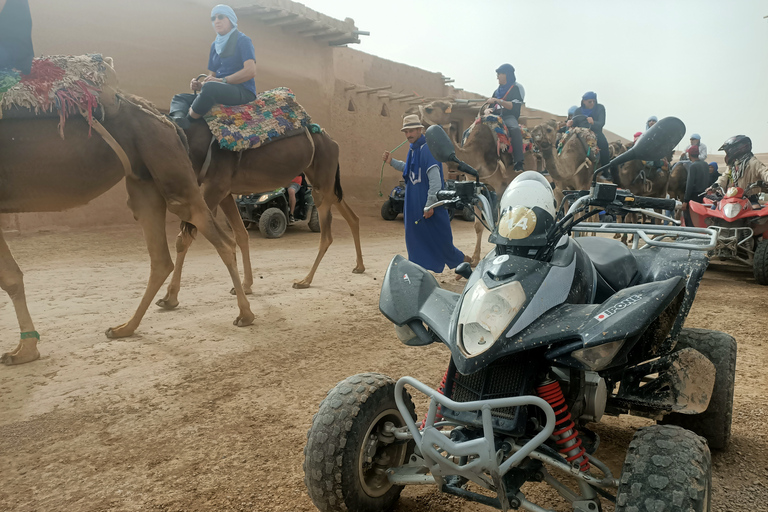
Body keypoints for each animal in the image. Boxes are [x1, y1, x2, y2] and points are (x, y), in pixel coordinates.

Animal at [1, 60, 256, 366]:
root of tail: (167, 120)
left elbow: (10, 277)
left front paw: (25, 350)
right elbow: (10, 276)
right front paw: (24, 348)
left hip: (169, 172)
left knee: (216, 236)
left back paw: (245, 314)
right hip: (143, 183)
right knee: (163, 257)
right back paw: (125, 327)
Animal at [156, 116, 366, 312]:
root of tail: (333, 142)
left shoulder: (215, 187)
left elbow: (183, 239)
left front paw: (169, 298)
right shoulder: (225, 192)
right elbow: (241, 234)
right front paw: (245, 286)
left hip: (322, 181)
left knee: (327, 234)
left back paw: (305, 280)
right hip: (323, 180)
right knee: (351, 216)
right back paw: (359, 266)